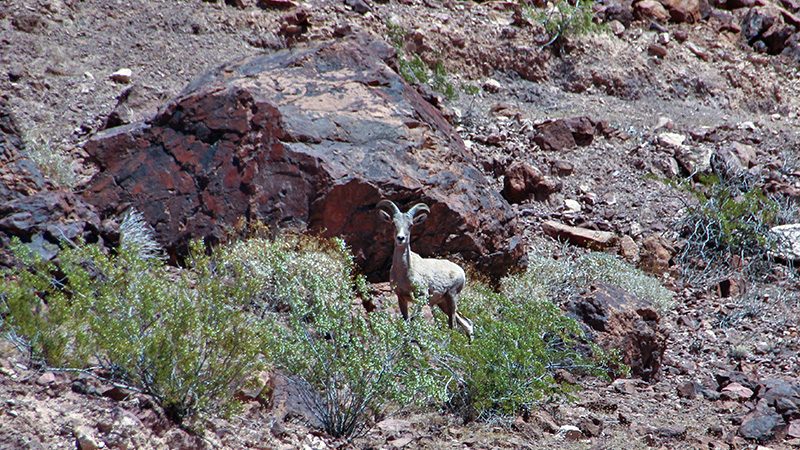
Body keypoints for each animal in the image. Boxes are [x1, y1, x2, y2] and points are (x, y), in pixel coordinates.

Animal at [376, 200, 472, 342]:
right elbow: (406, 320)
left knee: (453, 325)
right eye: (393, 223)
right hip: (442, 303)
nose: (400, 238)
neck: (404, 273)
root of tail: (461, 272)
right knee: (467, 323)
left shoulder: (421, 297)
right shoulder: (401, 297)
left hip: (452, 297)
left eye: (410, 225)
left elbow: (413, 319)